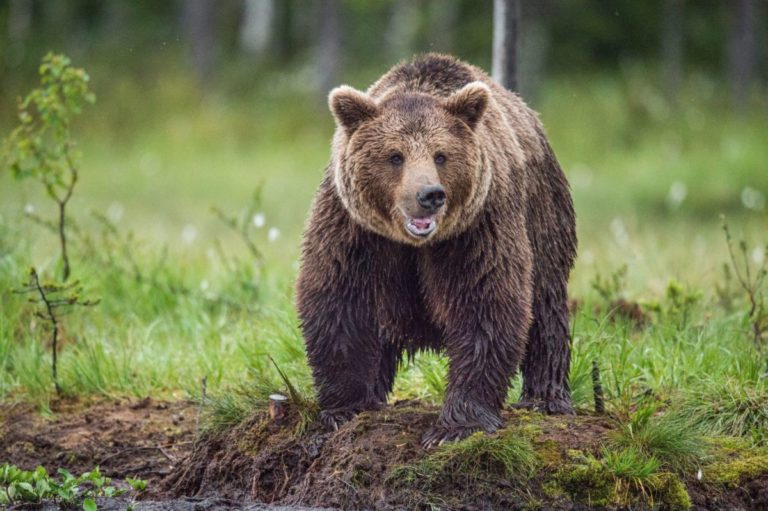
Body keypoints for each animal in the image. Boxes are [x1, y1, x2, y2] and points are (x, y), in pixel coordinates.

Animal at [294, 53, 576, 448]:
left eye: (441, 156)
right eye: (395, 156)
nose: (430, 195)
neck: (414, 244)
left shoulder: (476, 229)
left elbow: (485, 303)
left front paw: (455, 425)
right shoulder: (354, 229)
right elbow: (339, 300)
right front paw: (344, 408)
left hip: (544, 215)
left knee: (546, 306)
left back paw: (545, 398)